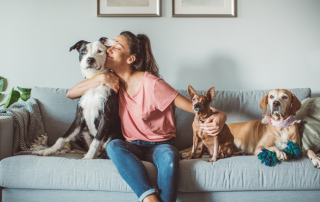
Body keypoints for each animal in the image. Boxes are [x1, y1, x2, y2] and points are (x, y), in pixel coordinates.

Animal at [182, 89, 320, 169]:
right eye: (271, 96)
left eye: (285, 97)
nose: (276, 103)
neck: (280, 125)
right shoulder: (258, 148)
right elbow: (272, 147)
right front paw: (280, 152)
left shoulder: (298, 149)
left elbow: (310, 151)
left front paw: (316, 159)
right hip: (203, 144)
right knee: (193, 150)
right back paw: (185, 155)